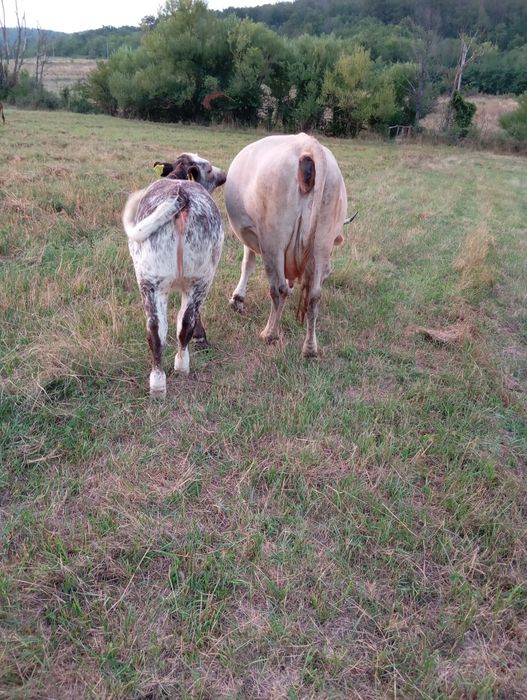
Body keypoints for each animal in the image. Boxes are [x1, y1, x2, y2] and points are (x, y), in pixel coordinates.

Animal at [122, 153, 226, 396]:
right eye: (208, 169)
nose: (223, 175)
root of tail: (184, 198)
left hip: (153, 282)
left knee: (158, 329)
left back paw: (164, 377)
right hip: (196, 279)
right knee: (179, 325)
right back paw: (172, 373)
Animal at [224, 133, 349, 357]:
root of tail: (309, 145)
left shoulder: (252, 234)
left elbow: (247, 264)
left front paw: (237, 299)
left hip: (272, 241)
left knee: (278, 289)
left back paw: (269, 333)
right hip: (321, 244)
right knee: (314, 297)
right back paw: (310, 348)